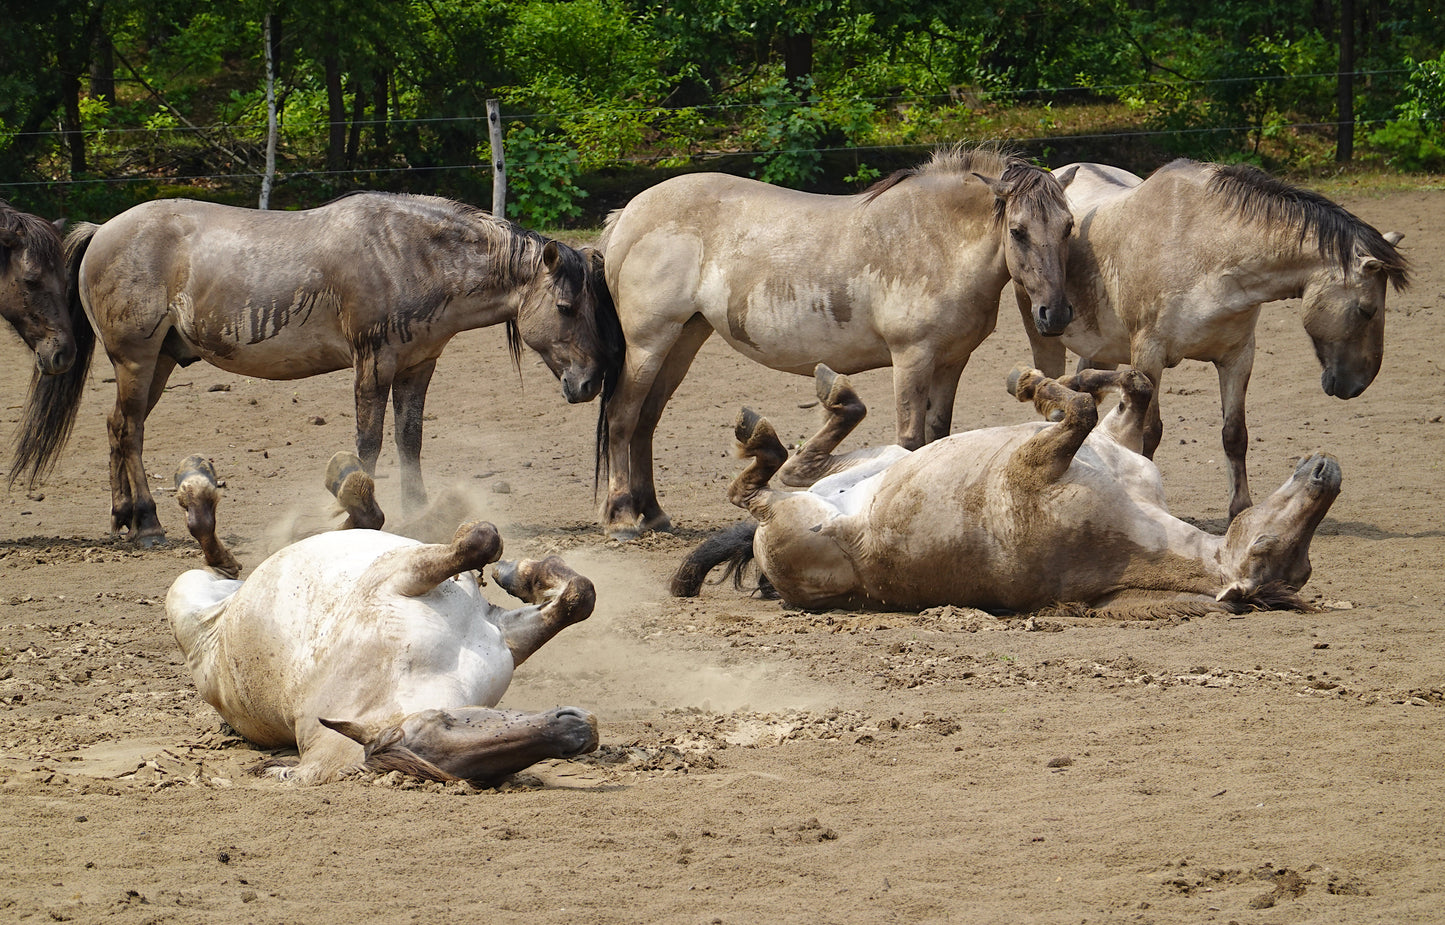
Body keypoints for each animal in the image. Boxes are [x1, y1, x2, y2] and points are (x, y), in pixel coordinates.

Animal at [17, 192, 623, 542]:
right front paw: (356, 513)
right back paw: (145, 522)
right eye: (566, 307)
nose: (589, 383)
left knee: (122, 428)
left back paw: (124, 517)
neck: (411, 253)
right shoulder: (372, 365)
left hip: (159, 363)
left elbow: (408, 440)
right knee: (127, 430)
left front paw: (418, 514)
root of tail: (102, 231)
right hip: (137, 361)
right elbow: (368, 444)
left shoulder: (417, 367)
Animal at [166, 454, 599, 785]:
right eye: (441, 721)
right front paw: (506, 564)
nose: (582, 729)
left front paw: (520, 573)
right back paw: (198, 486)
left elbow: (579, 597)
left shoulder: (499, 635)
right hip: (187, 590)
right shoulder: (399, 576)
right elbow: (480, 539)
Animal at [596, 145, 1077, 539]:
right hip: (649, 343)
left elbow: (938, 436)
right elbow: (910, 440)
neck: (936, 240)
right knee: (622, 417)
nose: (1054, 315)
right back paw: (622, 518)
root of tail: (629, 213)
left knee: (646, 421)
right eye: (1017, 231)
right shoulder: (912, 359)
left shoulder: (950, 363)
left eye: (1068, 227)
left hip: (684, 339)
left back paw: (654, 513)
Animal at [673, 364, 1341, 616]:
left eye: (1275, 553)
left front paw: (1033, 382)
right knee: (799, 462)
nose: (1326, 473)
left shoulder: (1038, 462)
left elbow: (1077, 410)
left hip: (799, 520)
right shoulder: (1112, 443)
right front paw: (1083, 374)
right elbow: (1129, 388)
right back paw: (821, 396)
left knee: (759, 488)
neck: (1134, 527)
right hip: (878, 460)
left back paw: (762, 436)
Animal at [1013, 159, 1407, 519]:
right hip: (1044, 330)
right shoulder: (1148, 356)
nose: (1357, 384)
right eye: (1367, 310)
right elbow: (1148, 433)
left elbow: (1235, 435)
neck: (1201, 249)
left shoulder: (1237, 357)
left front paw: (1240, 510)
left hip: (1102, 349)